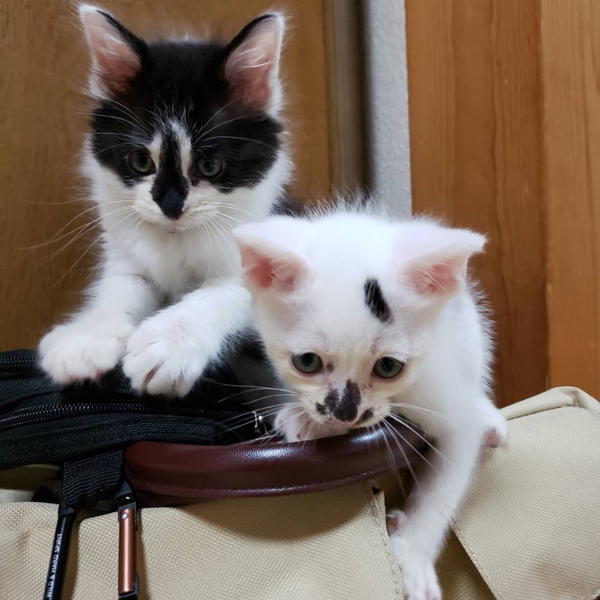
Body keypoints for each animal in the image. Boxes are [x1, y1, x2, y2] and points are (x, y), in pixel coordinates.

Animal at [38, 5, 291, 396]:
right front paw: (86, 336)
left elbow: (219, 294)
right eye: (141, 162)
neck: (176, 239)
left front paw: (167, 345)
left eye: (209, 165)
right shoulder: (126, 255)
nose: (171, 207)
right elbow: (119, 288)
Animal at [233, 205, 507, 600]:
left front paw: (412, 558)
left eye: (388, 366)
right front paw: (307, 420)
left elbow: (447, 475)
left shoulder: (438, 388)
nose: (346, 412)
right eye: (307, 361)